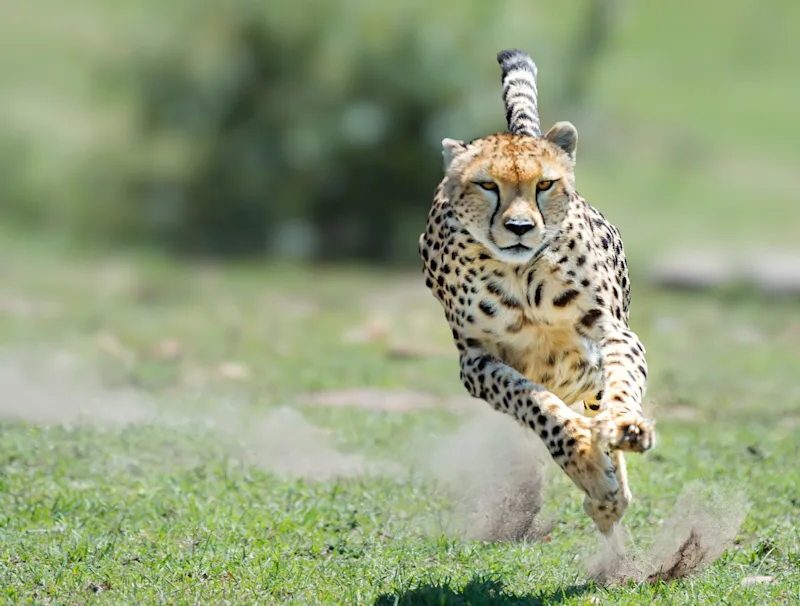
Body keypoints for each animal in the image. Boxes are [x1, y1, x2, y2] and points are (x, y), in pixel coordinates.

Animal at [419, 49, 655, 535]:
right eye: (487, 185)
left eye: (544, 184)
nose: (520, 227)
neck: (522, 276)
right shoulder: (476, 362)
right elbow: (533, 402)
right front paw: (583, 456)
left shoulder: (612, 332)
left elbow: (622, 381)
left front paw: (625, 427)